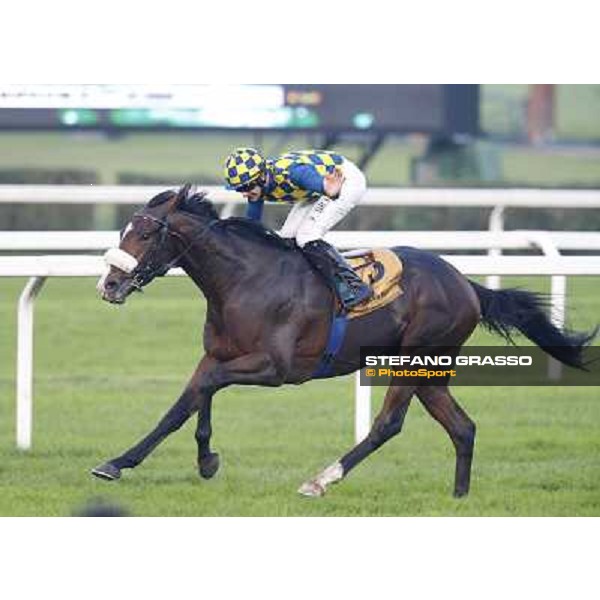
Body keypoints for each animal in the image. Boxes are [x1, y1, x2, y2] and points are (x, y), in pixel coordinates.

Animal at [91, 184, 592, 496]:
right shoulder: (219, 353)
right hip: (431, 370)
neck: (243, 279)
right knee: (462, 427)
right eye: (123, 231)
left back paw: (321, 480)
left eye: (146, 232)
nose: (108, 285)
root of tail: (467, 285)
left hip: (414, 359)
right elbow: (188, 401)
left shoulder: (276, 368)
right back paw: (459, 498)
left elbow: (205, 389)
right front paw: (157, 460)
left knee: (388, 424)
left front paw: (186, 460)